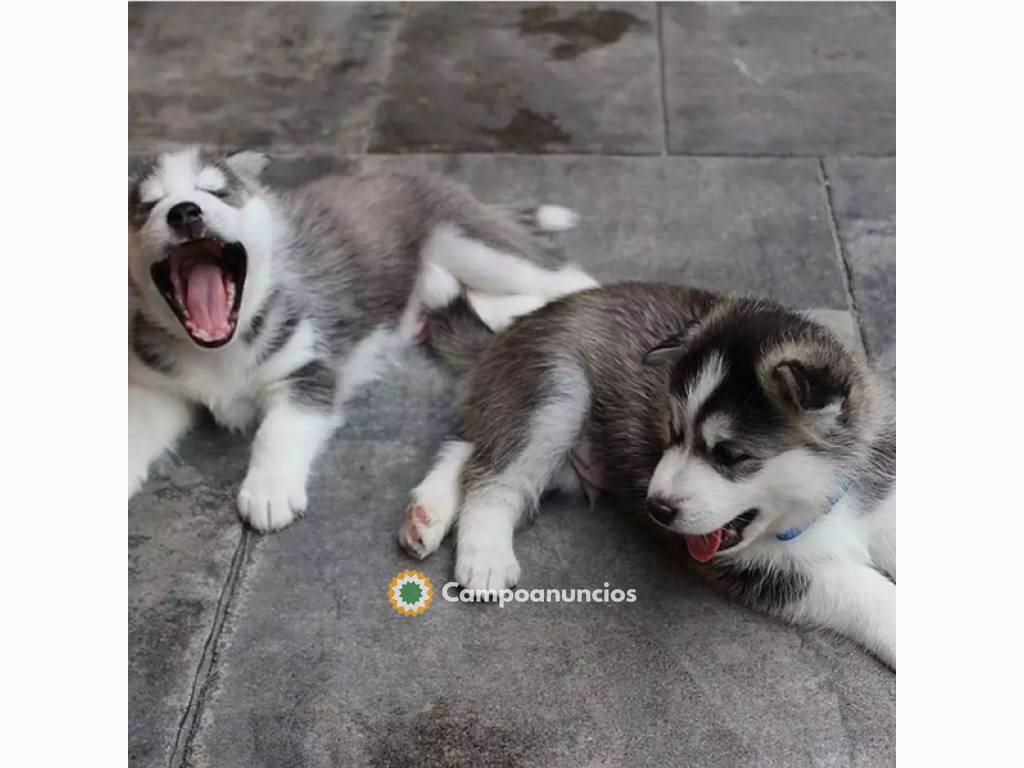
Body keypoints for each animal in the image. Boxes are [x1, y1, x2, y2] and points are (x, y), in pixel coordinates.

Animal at [129, 147, 598, 536]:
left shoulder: (309, 367)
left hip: (474, 247)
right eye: (147, 206)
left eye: (218, 193)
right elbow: (137, 425)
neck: (220, 349)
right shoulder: (158, 388)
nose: (185, 212)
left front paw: (269, 491)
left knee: (567, 277)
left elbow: (277, 430)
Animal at [399, 280, 897, 667]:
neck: (819, 504)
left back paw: (426, 516)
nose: (657, 509)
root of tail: (516, 325)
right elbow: (865, 589)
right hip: (556, 389)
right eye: (672, 431)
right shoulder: (771, 570)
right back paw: (484, 556)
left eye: (729, 454)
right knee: (495, 477)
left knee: (470, 448)